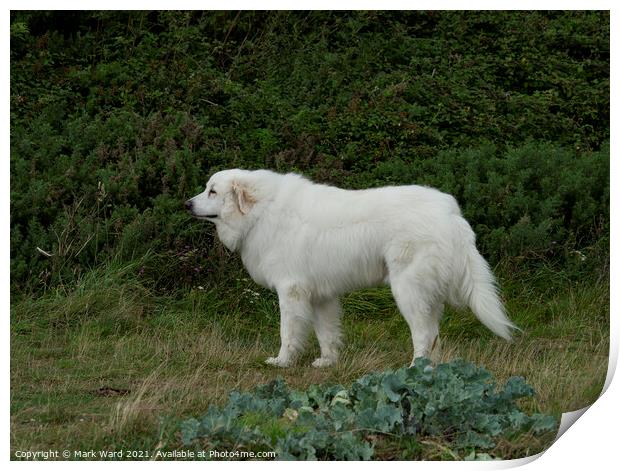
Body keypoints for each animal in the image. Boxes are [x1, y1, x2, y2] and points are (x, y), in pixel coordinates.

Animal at [186, 170, 516, 368]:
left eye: (212, 192)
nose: (187, 204)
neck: (261, 211)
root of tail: (450, 211)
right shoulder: (320, 296)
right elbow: (327, 333)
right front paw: (327, 362)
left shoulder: (291, 291)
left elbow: (288, 332)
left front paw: (282, 362)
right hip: (426, 294)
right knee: (433, 335)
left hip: (408, 291)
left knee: (423, 335)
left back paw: (414, 369)